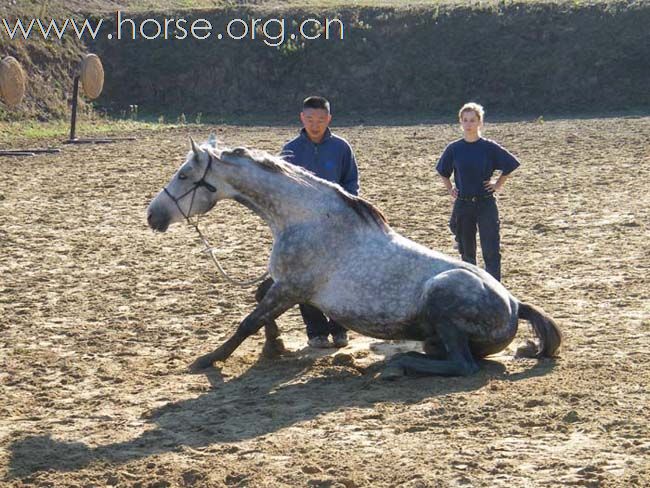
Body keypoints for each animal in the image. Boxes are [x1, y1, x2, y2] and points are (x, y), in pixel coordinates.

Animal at [144, 137, 560, 378]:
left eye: (184, 175)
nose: (152, 216)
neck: (305, 218)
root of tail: (515, 304)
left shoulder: (291, 288)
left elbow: (248, 321)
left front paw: (208, 360)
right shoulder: (284, 284)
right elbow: (257, 301)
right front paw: (273, 346)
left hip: (444, 298)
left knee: (464, 366)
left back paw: (397, 366)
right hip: (439, 335)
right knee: (460, 359)